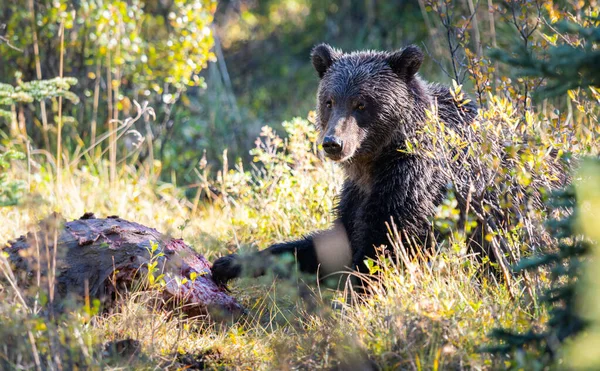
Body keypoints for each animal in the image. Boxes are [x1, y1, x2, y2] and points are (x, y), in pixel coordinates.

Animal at [211, 44, 478, 288]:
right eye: (329, 101)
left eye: (360, 103)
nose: (333, 143)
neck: (373, 162)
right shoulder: (355, 193)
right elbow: (331, 245)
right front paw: (228, 263)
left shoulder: (413, 181)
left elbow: (383, 244)